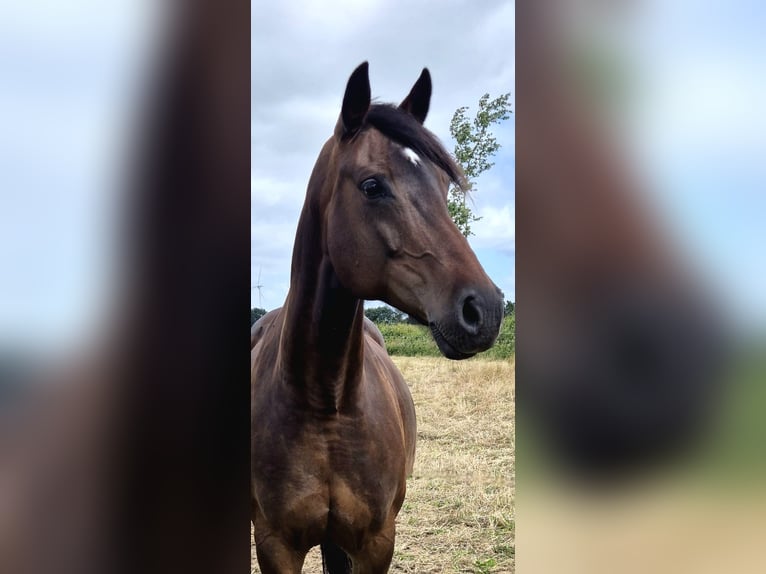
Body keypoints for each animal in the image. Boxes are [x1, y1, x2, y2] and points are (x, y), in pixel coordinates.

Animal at [251, 62, 504, 573]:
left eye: (444, 186)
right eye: (372, 186)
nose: (484, 310)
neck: (326, 406)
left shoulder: (375, 542)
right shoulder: (274, 545)